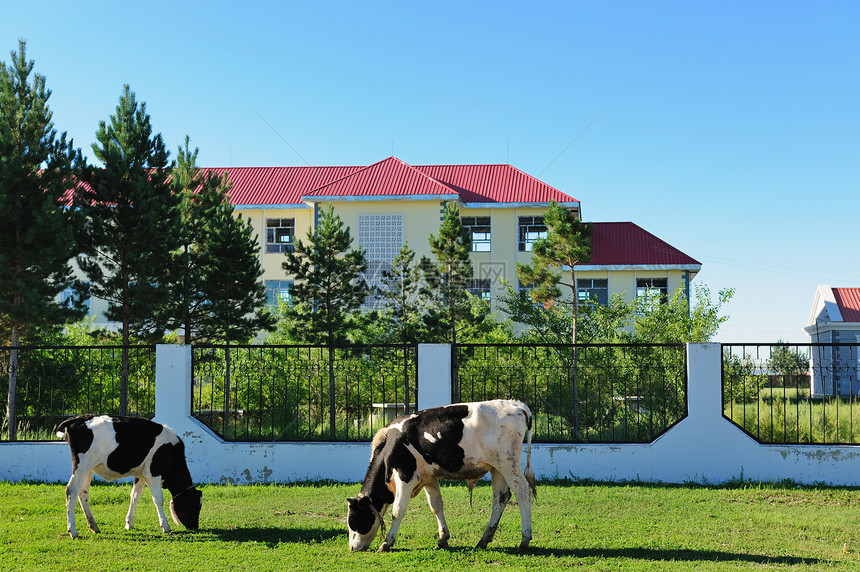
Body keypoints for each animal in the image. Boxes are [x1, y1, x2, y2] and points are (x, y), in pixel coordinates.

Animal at [55, 414, 202, 540]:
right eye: (195, 506)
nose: (195, 527)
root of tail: (78, 418)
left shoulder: (141, 474)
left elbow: (135, 496)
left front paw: (129, 523)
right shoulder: (153, 473)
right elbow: (158, 499)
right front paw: (165, 526)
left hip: (88, 469)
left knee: (83, 493)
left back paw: (94, 526)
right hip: (82, 465)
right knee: (71, 491)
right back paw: (73, 531)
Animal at [346, 400, 536, 552]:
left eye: (354, 520)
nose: (352, 547)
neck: (392, 444)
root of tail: (517, 405)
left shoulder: (405, 476)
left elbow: (397, 511)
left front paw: (387, 542)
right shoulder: (428, 477)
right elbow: (436, 505)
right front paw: (443, 538)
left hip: (508, 464)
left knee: (522, 493)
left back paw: (524, 539)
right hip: (497, 468)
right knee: (500, 499)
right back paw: (484, 540)